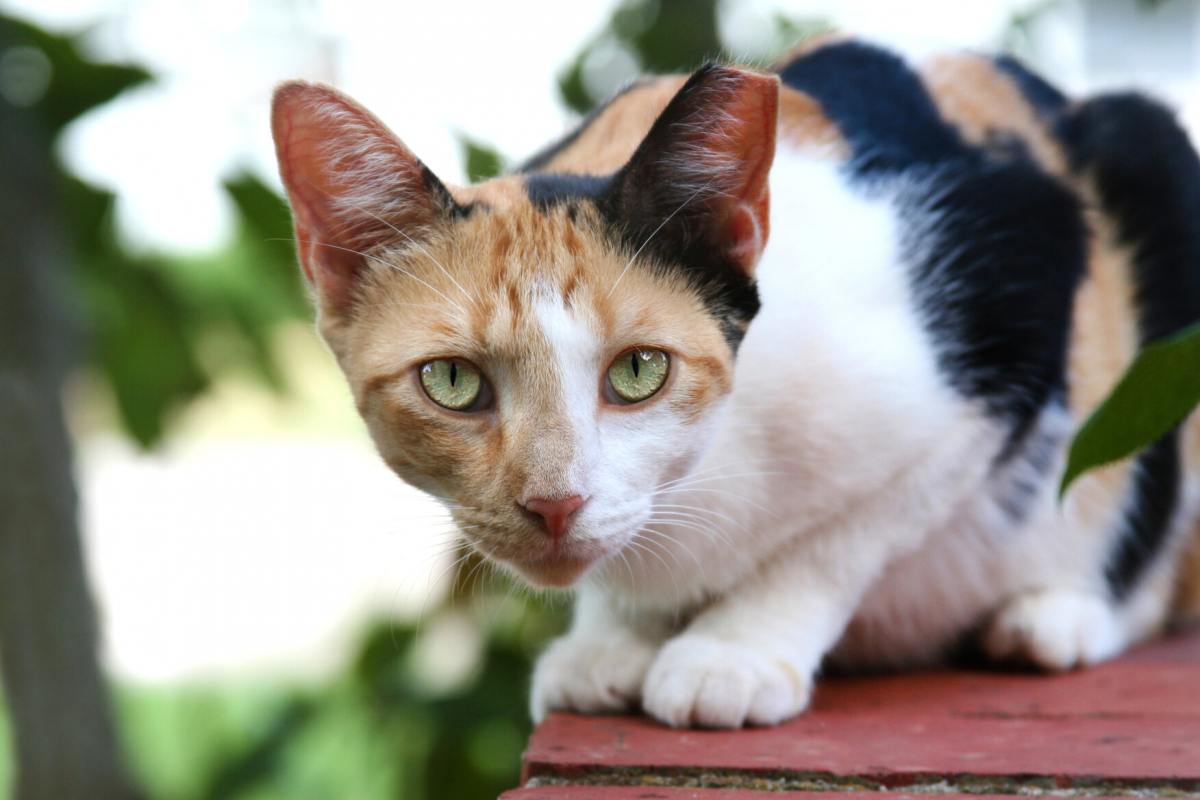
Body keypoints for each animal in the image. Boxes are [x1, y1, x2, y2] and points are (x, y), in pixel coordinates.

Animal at [272, 37, 1200, 729]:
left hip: (1150, 166)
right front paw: (613, 639)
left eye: (639, 370)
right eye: (453, 382)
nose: (555, 504)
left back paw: (1054, 616)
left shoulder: (1009, 304)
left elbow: (842, 535)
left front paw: (733, 653)